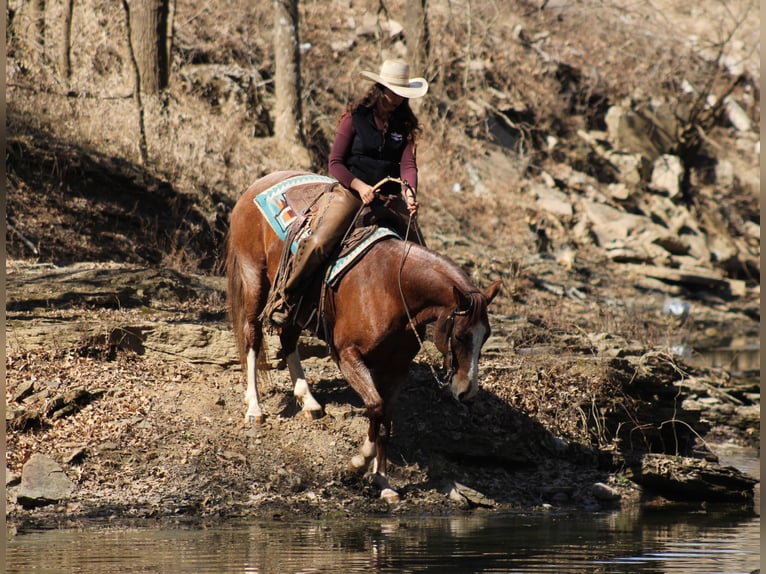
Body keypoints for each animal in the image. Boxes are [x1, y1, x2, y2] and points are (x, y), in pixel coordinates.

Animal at [226, 170, 501, 502]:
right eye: (459, 336)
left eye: (485, 337)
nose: (466, 392)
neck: (391, 288)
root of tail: (259, 183)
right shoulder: (348, 356)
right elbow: (376, 407)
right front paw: (358, 463)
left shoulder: (395, 368)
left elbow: (386, 422)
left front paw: (383, 482)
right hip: (253, 276)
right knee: (252, 335)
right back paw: (255, 408)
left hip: (295, 307)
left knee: (288, 337)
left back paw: (309, 402)